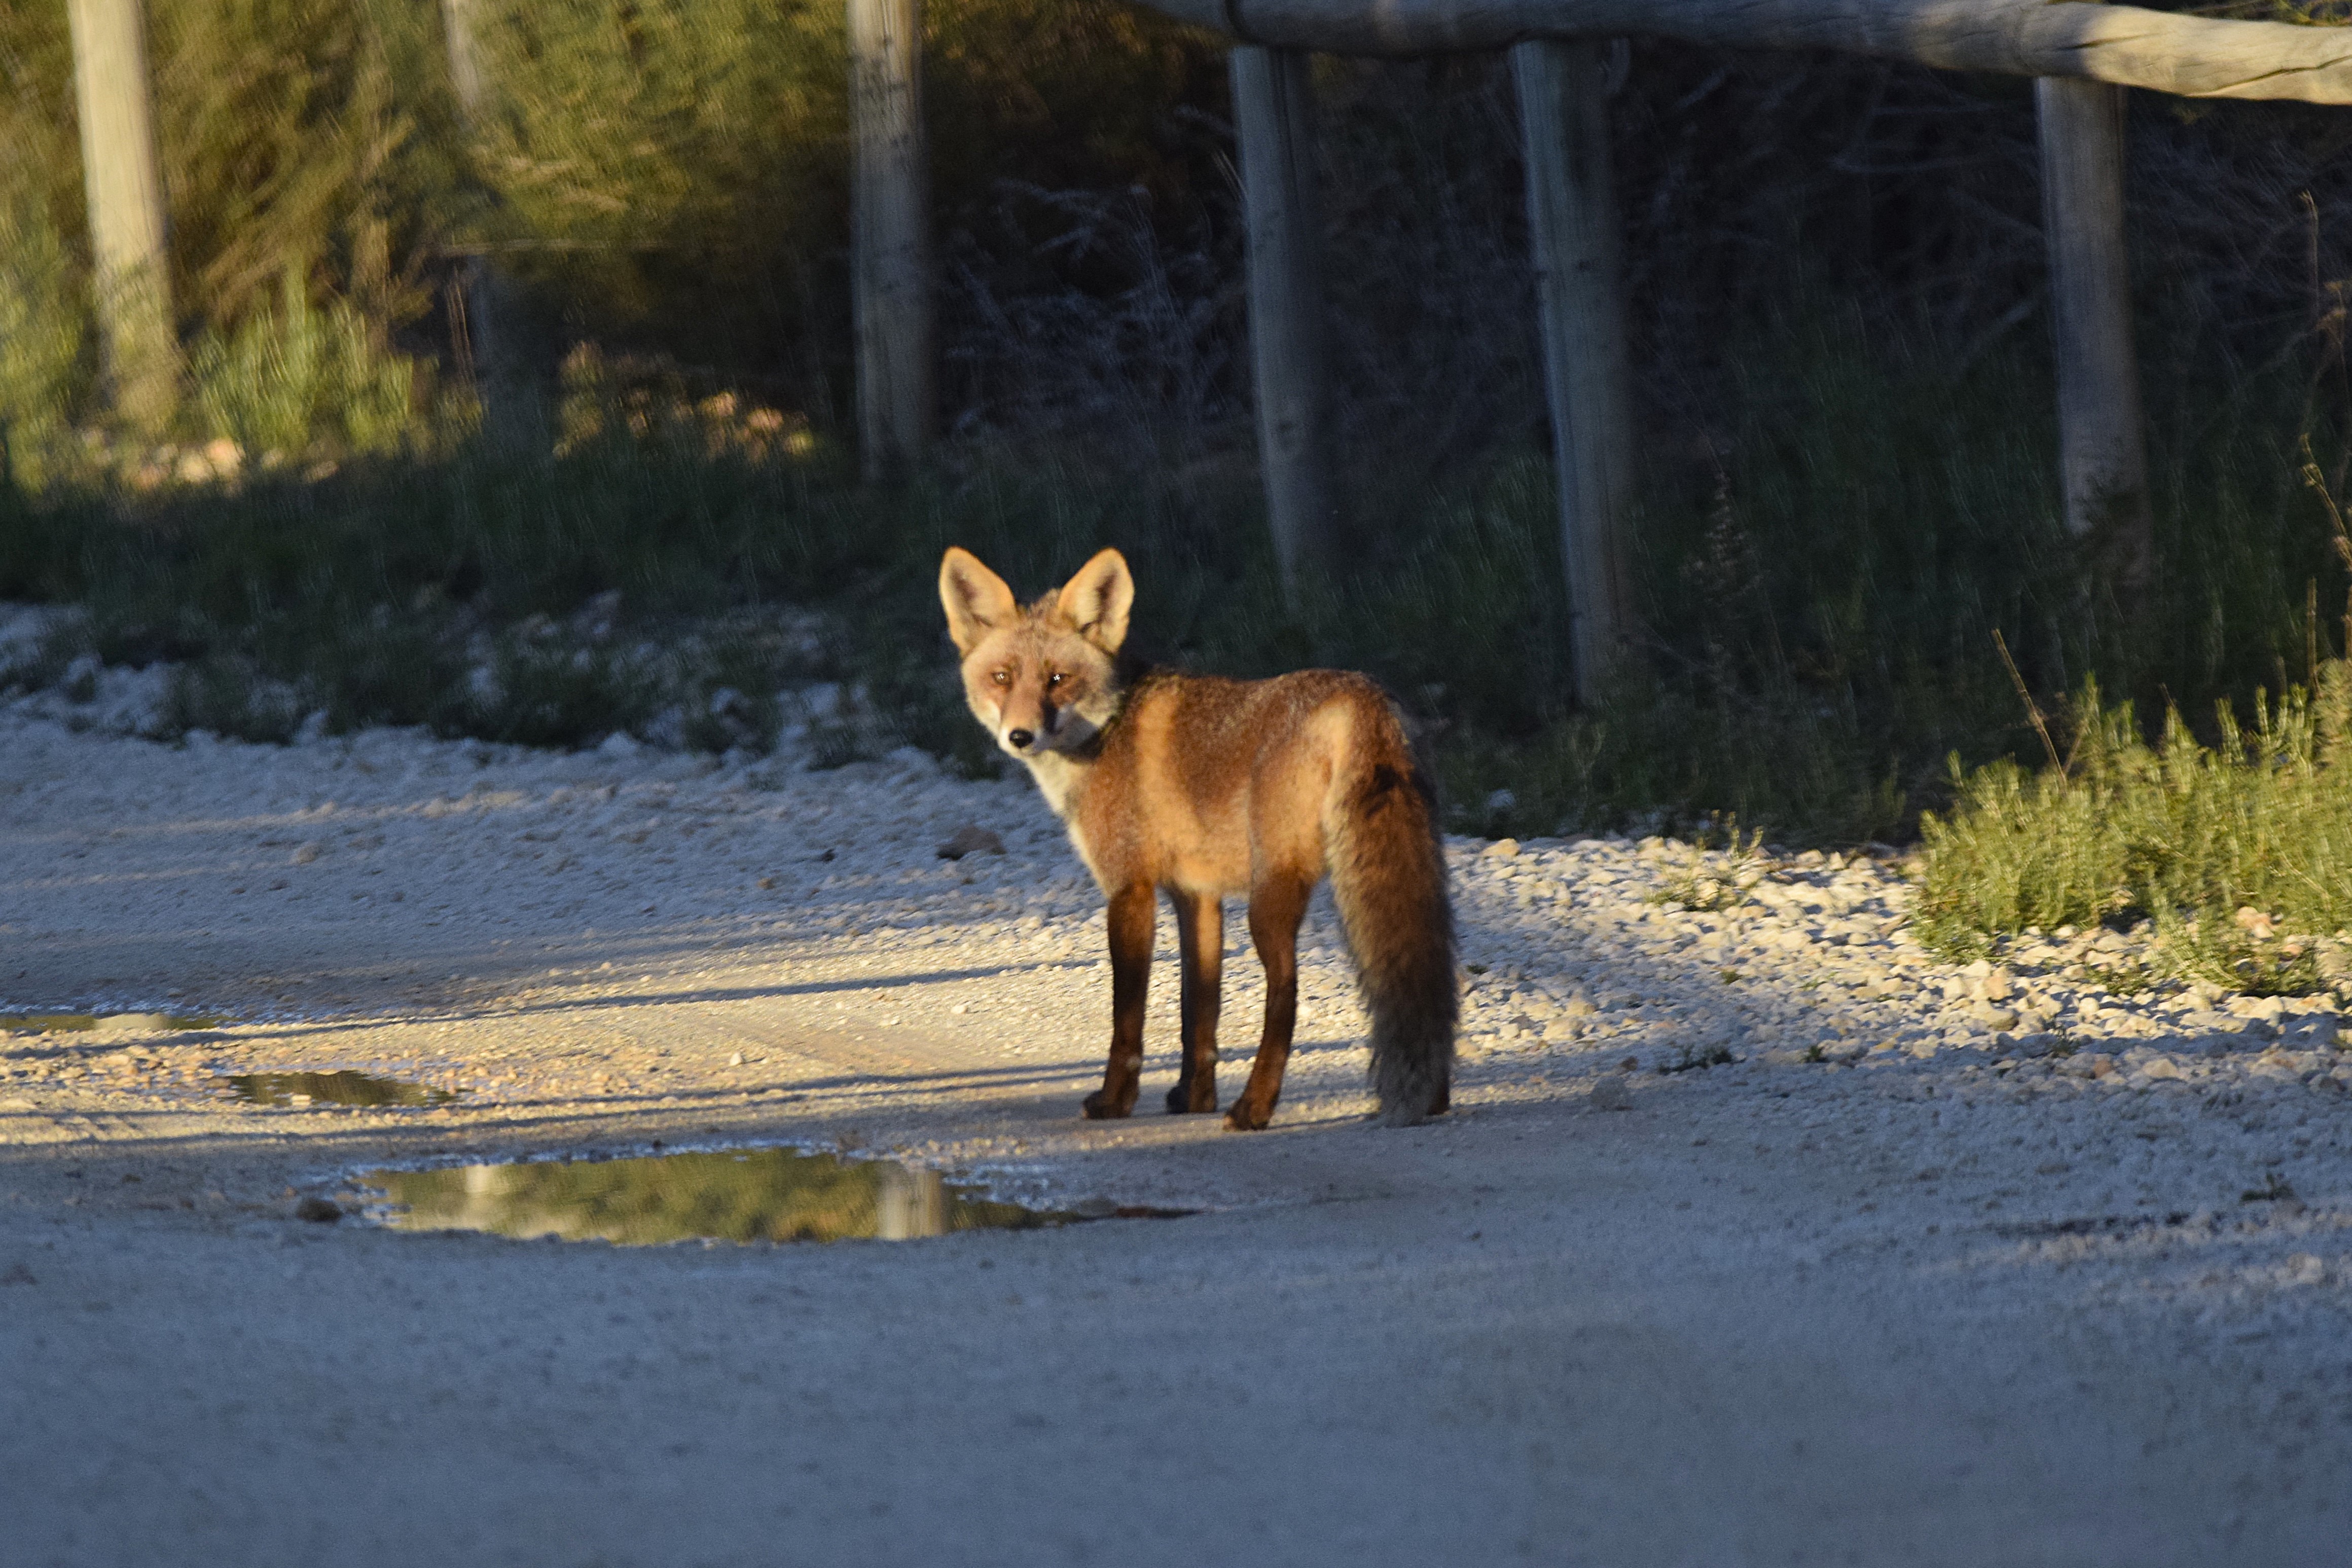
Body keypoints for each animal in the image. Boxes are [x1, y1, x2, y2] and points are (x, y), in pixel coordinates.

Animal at [938, 545, 1456, 1130]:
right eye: (1002, 677)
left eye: (1057, 679)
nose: (1020, 736)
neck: (1108, 729)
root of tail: (1360, 693)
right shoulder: (1197, 897)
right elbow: (1198, 1011)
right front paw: (1193, 1097)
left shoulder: (1130, 889)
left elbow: (1127, 1020)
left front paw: (1115, 1101)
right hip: (1413, 874)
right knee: (1429, 974)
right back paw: (1434, 1098)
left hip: (1269, 899)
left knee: (1286, 994)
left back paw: (1253, 1108)